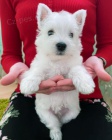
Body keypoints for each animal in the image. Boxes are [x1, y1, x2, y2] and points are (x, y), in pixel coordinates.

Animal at [19, 3, 94, 140]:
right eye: (50, 32)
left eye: (71, 34)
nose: (61, 45)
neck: (57, 61)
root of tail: (58, 113)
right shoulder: (39, 65)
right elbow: (36, 72)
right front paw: (28, 85)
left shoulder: (74, 65)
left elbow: (77, 70)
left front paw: (86, 85)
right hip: (44, 112)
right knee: (54, 124)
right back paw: (56, 134)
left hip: (73, 111)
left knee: (62, 121)